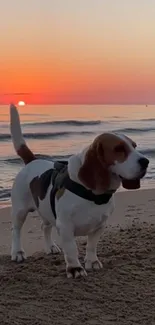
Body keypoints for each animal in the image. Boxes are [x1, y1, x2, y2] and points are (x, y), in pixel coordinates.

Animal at [9, 105, 149, 278]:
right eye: (119, 149)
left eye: (134, 146)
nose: (146, 161)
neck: (92, 195)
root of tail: (32, 160)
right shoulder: (65, 227)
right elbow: (71, 249)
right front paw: (75, 268)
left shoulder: (99, 226)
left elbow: (91, 245)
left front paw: (92, 261)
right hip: (20, 211)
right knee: (16, 230)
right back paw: (17, 252)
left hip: (45, 209)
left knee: (45, 227)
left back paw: (50, 247)